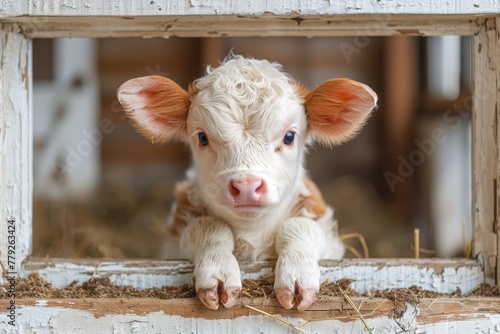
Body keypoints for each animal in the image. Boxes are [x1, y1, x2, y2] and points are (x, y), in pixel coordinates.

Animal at [117, 54, 376, 310]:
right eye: (202, 137)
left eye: (289, 136)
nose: (247, 186)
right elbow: (208, 225)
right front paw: (217, 272)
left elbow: (299, 225)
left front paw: (297, 275)